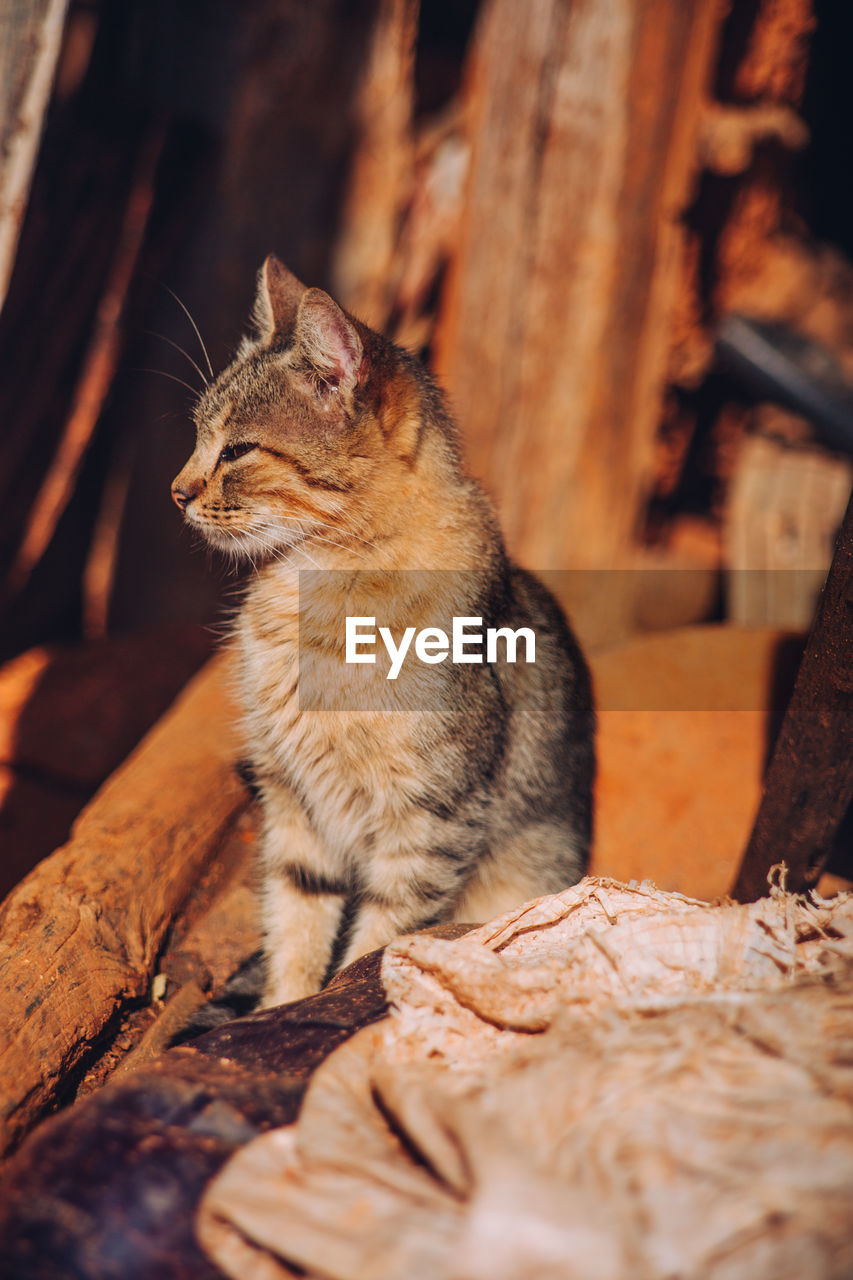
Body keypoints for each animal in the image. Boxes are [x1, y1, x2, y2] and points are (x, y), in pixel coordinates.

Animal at [169, 254, 589, 1003]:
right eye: (197, 436)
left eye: (238, 449)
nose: (176, 491)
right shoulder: (295, 807)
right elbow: (297, 928)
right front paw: (280, 1009)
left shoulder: (430, 822)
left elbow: (376, 945)